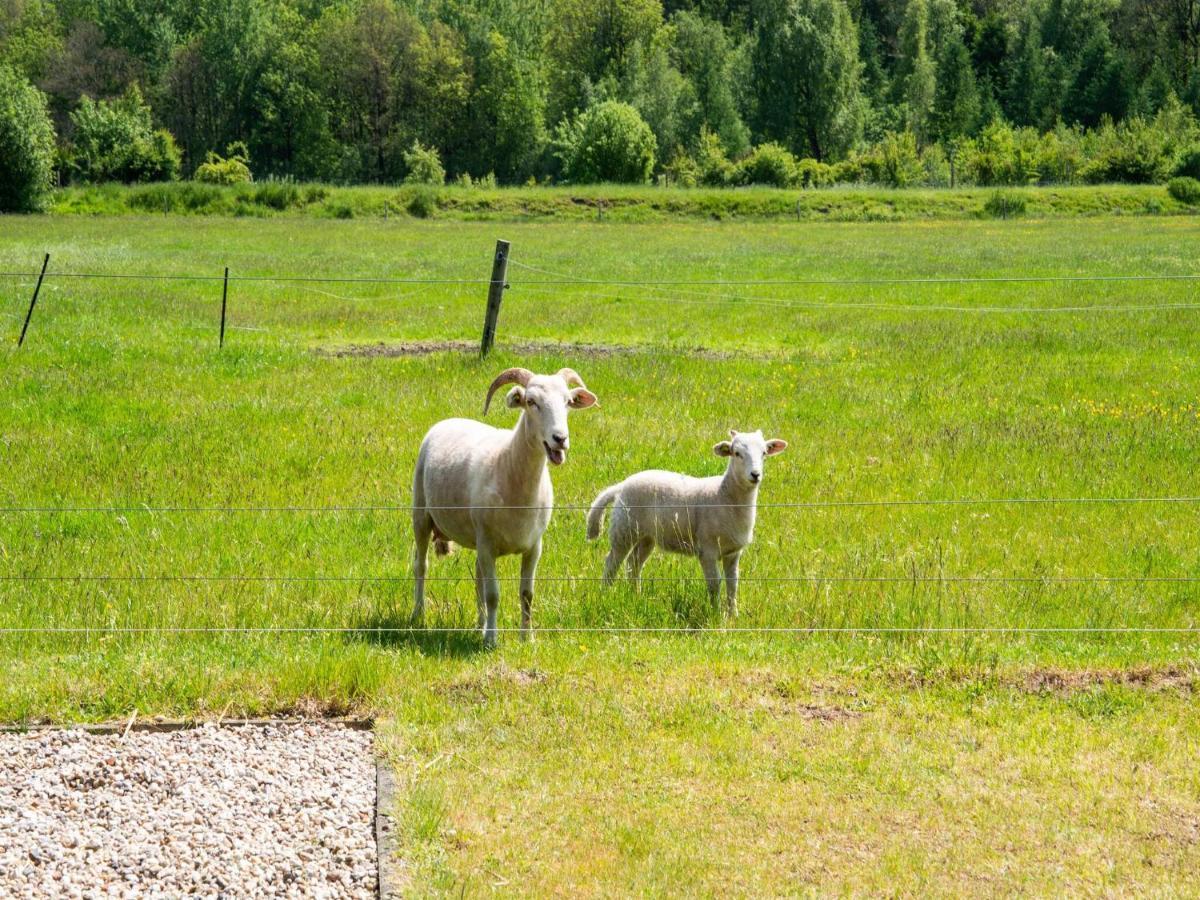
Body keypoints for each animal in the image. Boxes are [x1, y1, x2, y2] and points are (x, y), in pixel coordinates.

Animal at [412, 367, 600, 648]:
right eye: (531, 402)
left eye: (568, 402)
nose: (560, 439)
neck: (508, 465)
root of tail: (450, 420)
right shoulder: (488, 544)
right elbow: (493, 594)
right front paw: (491, 640)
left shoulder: (533, 546)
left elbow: (527, 593)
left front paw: (526, 637)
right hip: (421, 514)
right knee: (421, 566)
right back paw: (419, 615)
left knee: (478, 576)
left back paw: (479, 624)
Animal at [583, 432, 787, 619]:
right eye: (737, 453)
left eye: (764, 453)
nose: (755, 475)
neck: (723, 496)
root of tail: (621, 486)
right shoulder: (707, 550)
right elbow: (715, 583)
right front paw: (715, 614)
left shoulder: (733, 552)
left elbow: (733, 584)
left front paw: (732, 615)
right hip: (624, 530)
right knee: (612, 562)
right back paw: (605, 595)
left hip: (646, 536)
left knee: (633, 563)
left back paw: (636, 596)